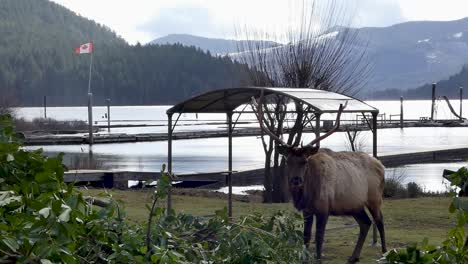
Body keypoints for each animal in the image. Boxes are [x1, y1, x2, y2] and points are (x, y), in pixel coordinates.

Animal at [252, 95, 388, 264]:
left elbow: (319, 237)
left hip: (374, 197)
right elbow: (306, 237)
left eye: (305, 161)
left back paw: (384, 253)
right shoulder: (307, 210)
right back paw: (353, 257)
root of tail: (381, 166)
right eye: (288, 161)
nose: (296, 180)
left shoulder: (324, 208)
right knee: (365, 222)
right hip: (354, 205)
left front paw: (318, 259)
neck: (307, 194)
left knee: (379, 220)